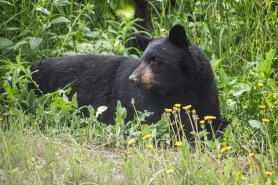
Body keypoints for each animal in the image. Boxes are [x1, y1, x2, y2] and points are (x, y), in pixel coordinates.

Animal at [29, 24, 227, 137]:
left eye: (155, 60)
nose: (133, 78)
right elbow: (165, 123)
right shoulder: (146, 103)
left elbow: (211, 116)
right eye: (141, 60)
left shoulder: (205, 91)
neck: (180, 88)